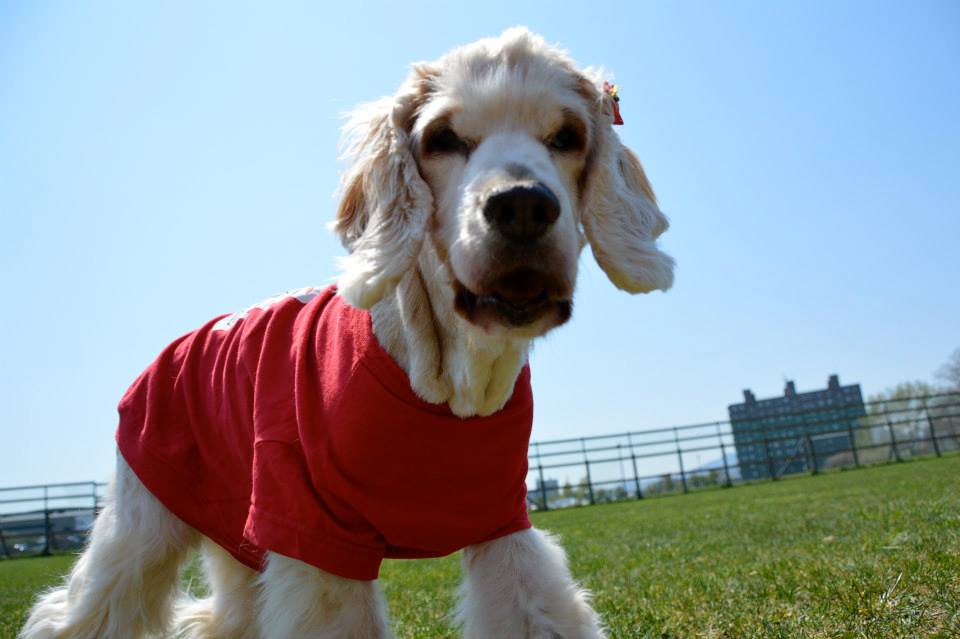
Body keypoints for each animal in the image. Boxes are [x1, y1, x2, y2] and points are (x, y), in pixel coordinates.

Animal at [20, 28, 673, 639]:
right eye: (442, 138)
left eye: (567, 136)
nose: (522, 206)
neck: (444, 386)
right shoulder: (312, 530)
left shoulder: (501, 519)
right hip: (145, 518)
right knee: (79, 608)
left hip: (240, 520)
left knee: (228, 614)